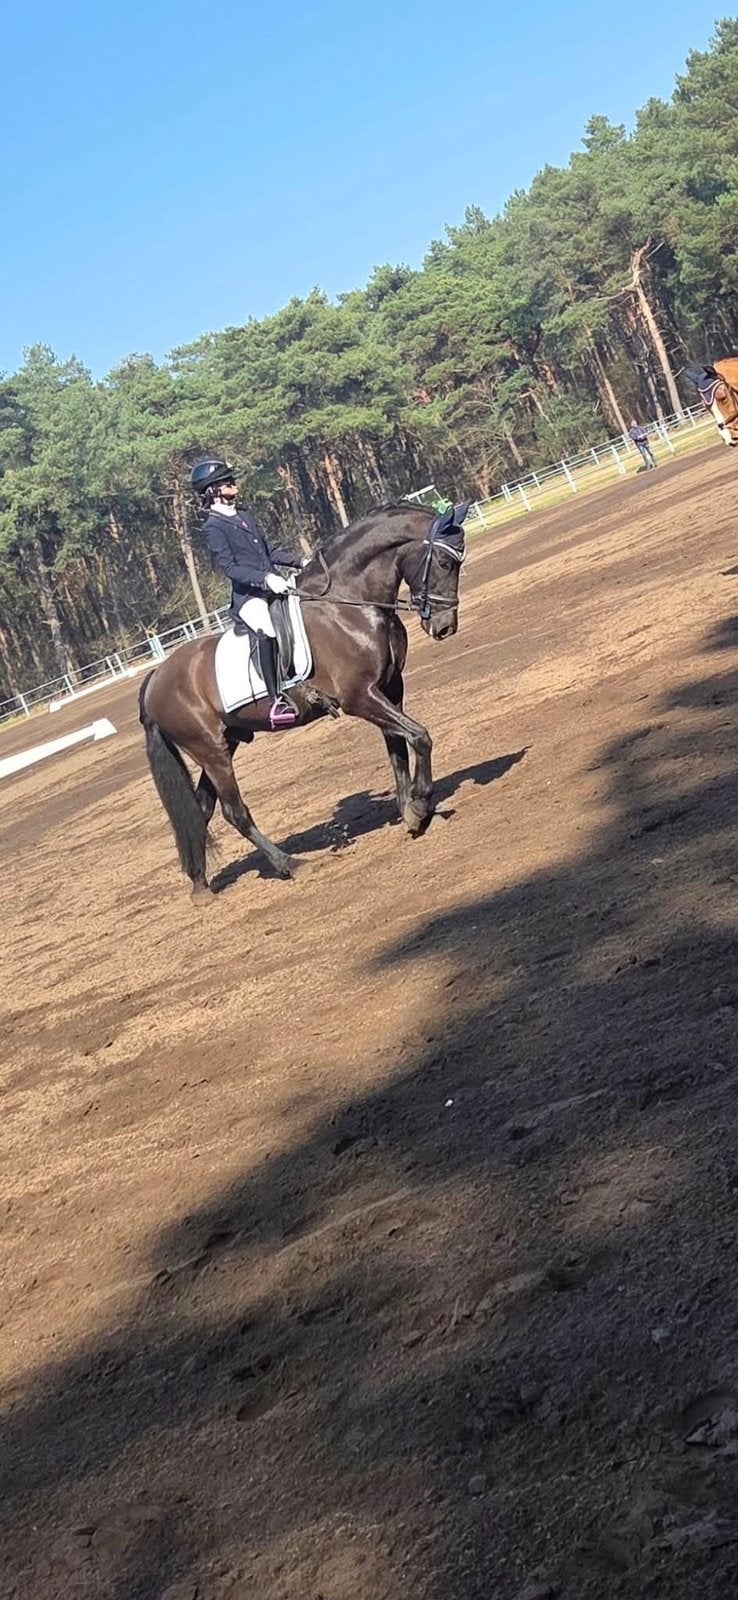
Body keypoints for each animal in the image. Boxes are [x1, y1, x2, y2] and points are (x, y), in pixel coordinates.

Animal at [139, 500, 469, 900]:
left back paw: (201, 885)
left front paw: (409, 812)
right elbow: (419, 736)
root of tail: (155, 679)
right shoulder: (359, 697)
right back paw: (290, 864)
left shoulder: (390, 688)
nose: (444, 627)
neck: (349, 604)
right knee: (234, 812)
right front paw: (420, 804)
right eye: (444, 563)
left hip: (222, 744)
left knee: (201, 809)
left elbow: (398, 750)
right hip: (209, 749)